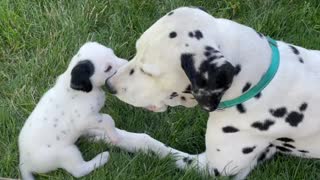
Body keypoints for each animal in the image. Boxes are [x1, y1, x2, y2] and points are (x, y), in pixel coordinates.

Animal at [18, 41, 126, 180]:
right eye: (108, 68)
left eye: (113, 53)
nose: (128, 64)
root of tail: (24, 163)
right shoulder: (84, 120)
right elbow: (108, 119)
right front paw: (115, 136)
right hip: (68, 153)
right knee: (79, 170)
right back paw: (102, 158)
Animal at [100, 6, 320, 179]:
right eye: (136, 51)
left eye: (148, 71)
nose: (109, 85)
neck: (260, 80)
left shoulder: (212, 167)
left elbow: (151, 144)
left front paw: (108, 135)